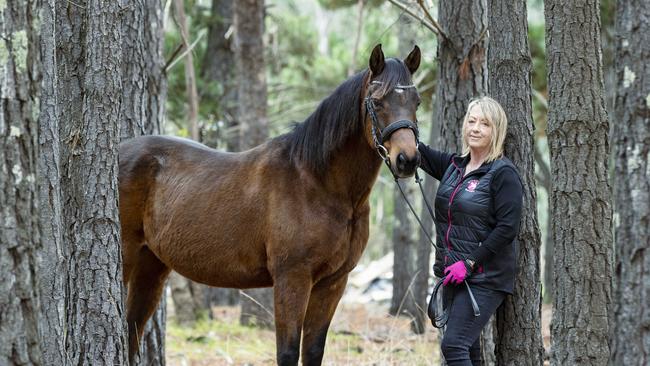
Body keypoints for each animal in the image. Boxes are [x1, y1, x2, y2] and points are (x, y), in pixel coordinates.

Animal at [119, 44, 422, 364]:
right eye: (377, 102)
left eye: (416, 101)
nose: (407, 160)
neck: (318, 183)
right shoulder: (292, 278)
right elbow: (287, 352)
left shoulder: (332, 284)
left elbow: (313, 351)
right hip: (128, 255)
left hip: (152, 264)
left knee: (132, 330)